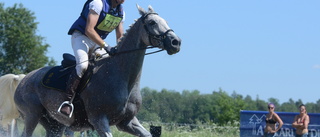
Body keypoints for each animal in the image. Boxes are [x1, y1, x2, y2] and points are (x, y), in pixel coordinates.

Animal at [13, 4, 181, 136]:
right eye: (152, 22)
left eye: (165, 22)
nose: (176, 42)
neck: (123, 76)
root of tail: (24, 79)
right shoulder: (99, 120)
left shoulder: (127, 122)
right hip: (32, 115)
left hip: (55, 124)